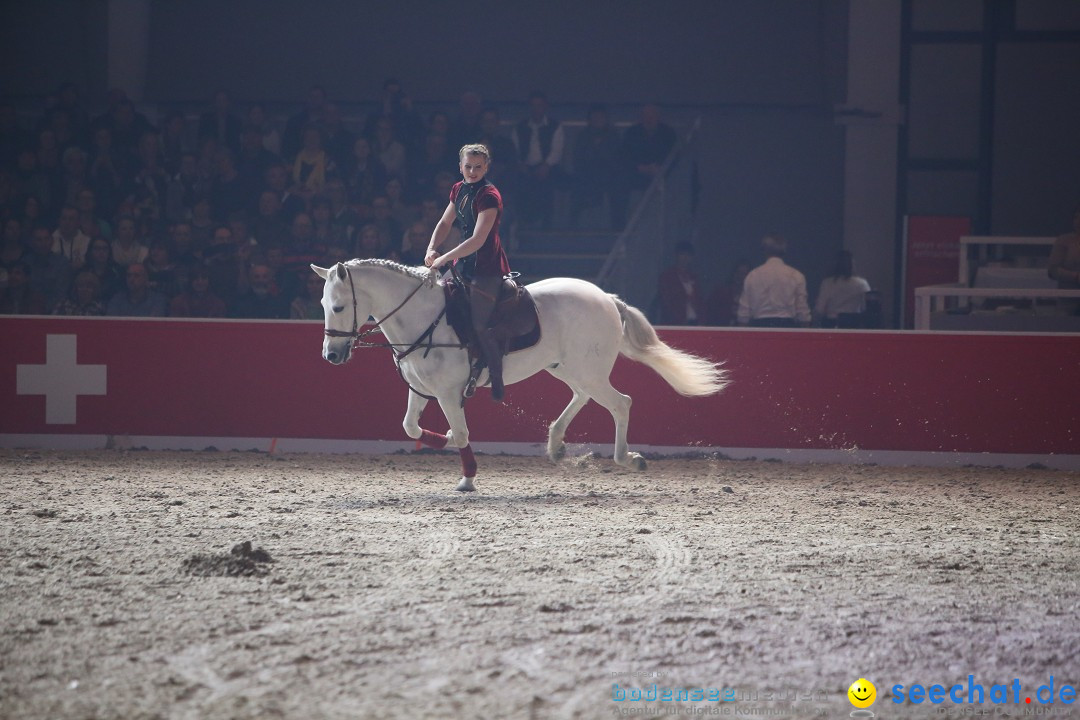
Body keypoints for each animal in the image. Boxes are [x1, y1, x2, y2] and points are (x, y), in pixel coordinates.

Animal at [313, 262, 730, 492]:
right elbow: (411, 427)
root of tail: (608, 299)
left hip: (589, 370)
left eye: (339, 306)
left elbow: (462, 433)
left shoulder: (447, 393)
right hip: (568, 367)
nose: (331, 355)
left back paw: (628, 458)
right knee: (582, 397)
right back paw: (556, 444)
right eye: (322, 305)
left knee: (620, 404)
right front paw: (441, 438)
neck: (424, 318)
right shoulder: (421, 389)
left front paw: (467, 478)